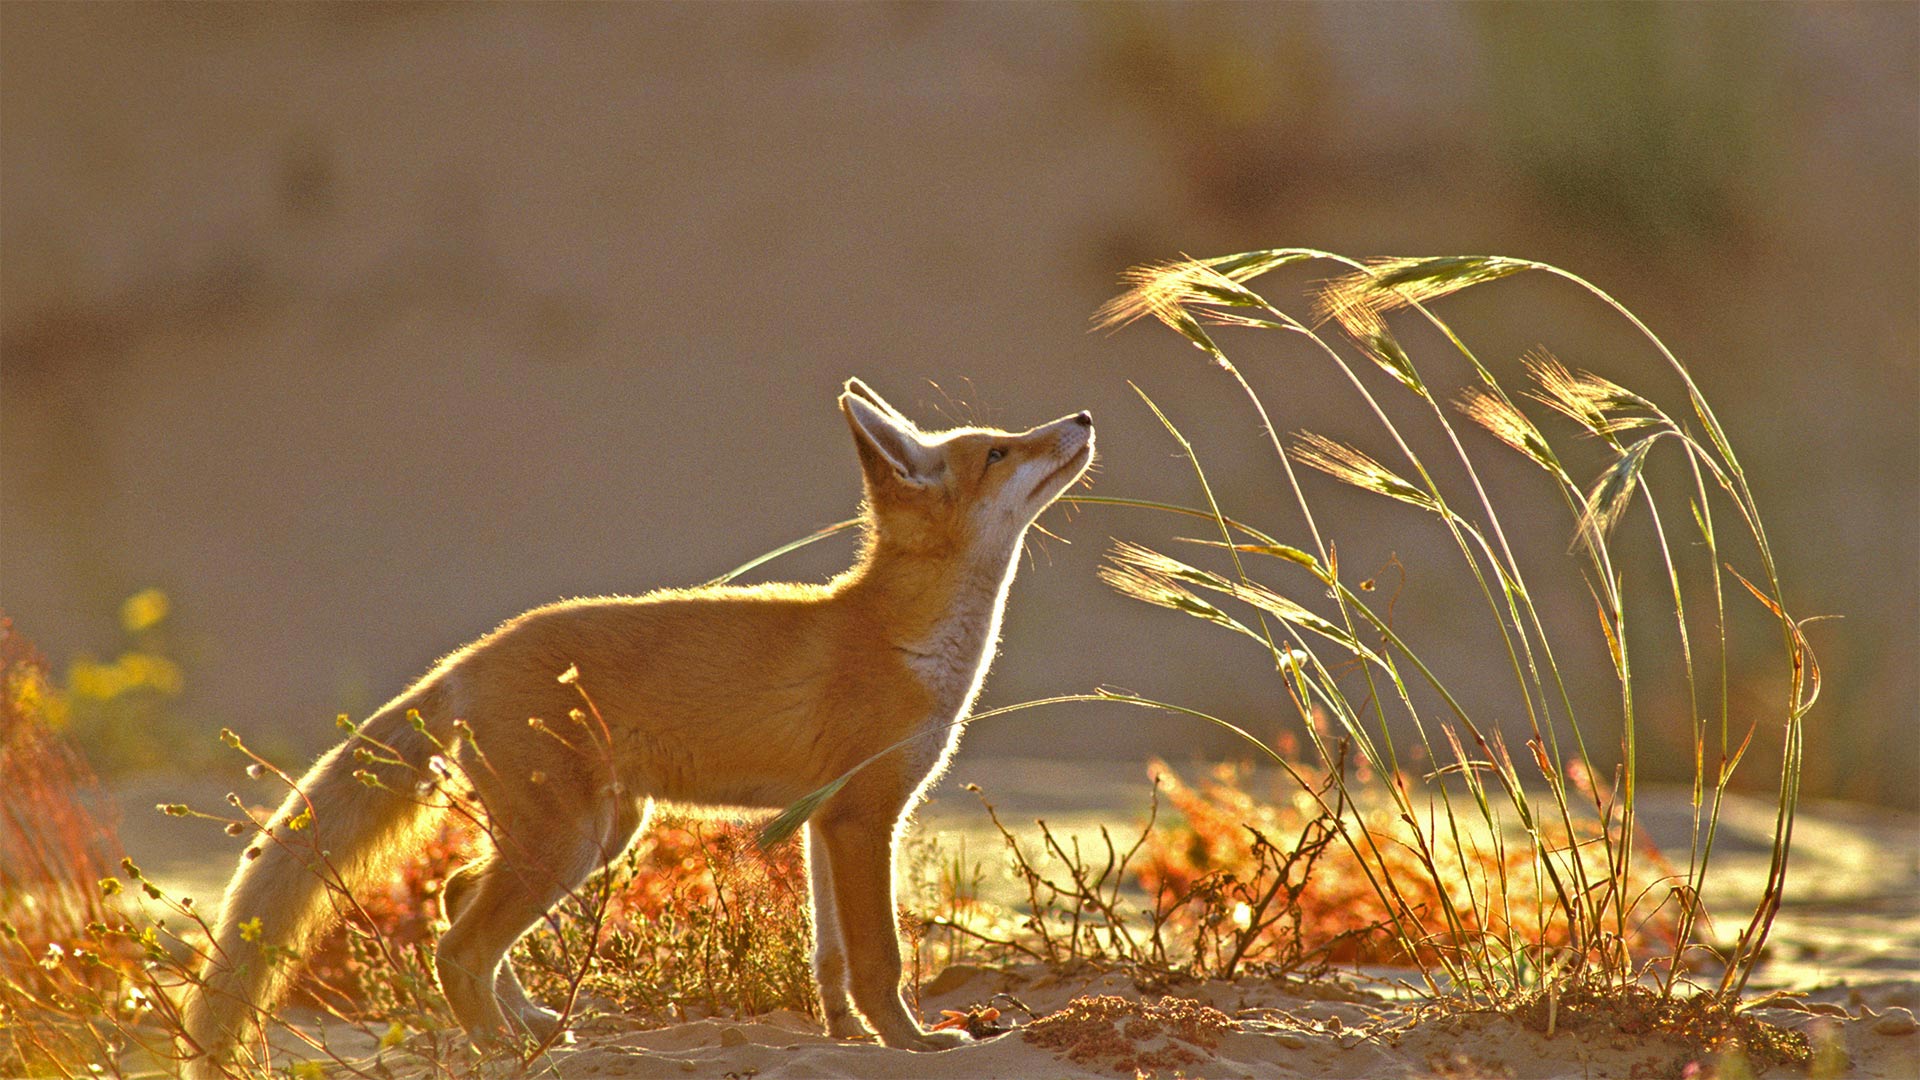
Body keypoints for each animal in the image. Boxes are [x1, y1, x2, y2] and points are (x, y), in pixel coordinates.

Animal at [187, 376, 1105, 1068]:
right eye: (1000, 451)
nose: (1083, 417)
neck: (902, 639)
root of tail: (472, 655)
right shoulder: (863, 816)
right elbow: (878, 958)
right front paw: (911, 1043)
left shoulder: (822, 821)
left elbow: (830, 959)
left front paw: (843, 1037)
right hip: (567, 843)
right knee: (457, 946)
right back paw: (503, 1048)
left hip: (597, 834)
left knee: (453, 896)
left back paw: (531, 1022)